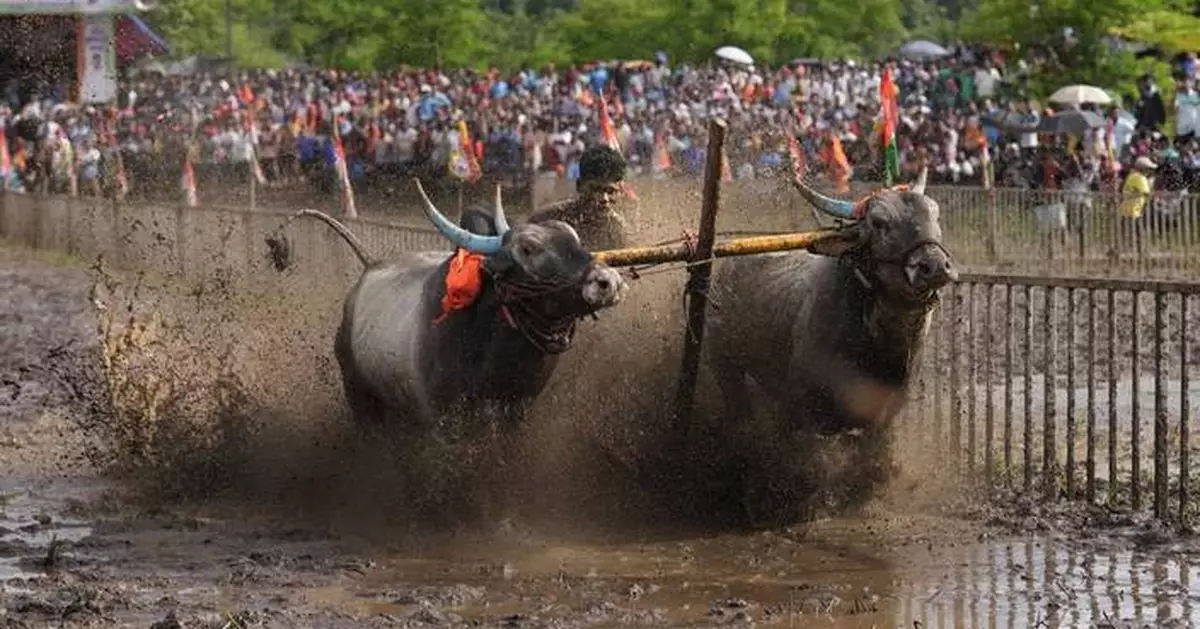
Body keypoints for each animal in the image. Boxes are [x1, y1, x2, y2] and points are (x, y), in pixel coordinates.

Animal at [272, 178, 628, 439]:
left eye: (574, 237)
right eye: (529, 249)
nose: (607, 281)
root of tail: (371, 266)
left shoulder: (518, 410)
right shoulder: (443, 420)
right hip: (360, 395)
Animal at [700, 166, 955, 525]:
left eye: (934, 214)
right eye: (879, 222)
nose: (934, 267)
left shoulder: (884, 415)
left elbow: (873, 464)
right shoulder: (803, 410)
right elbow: (810, 465)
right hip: (725, 364)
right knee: (741, 417)